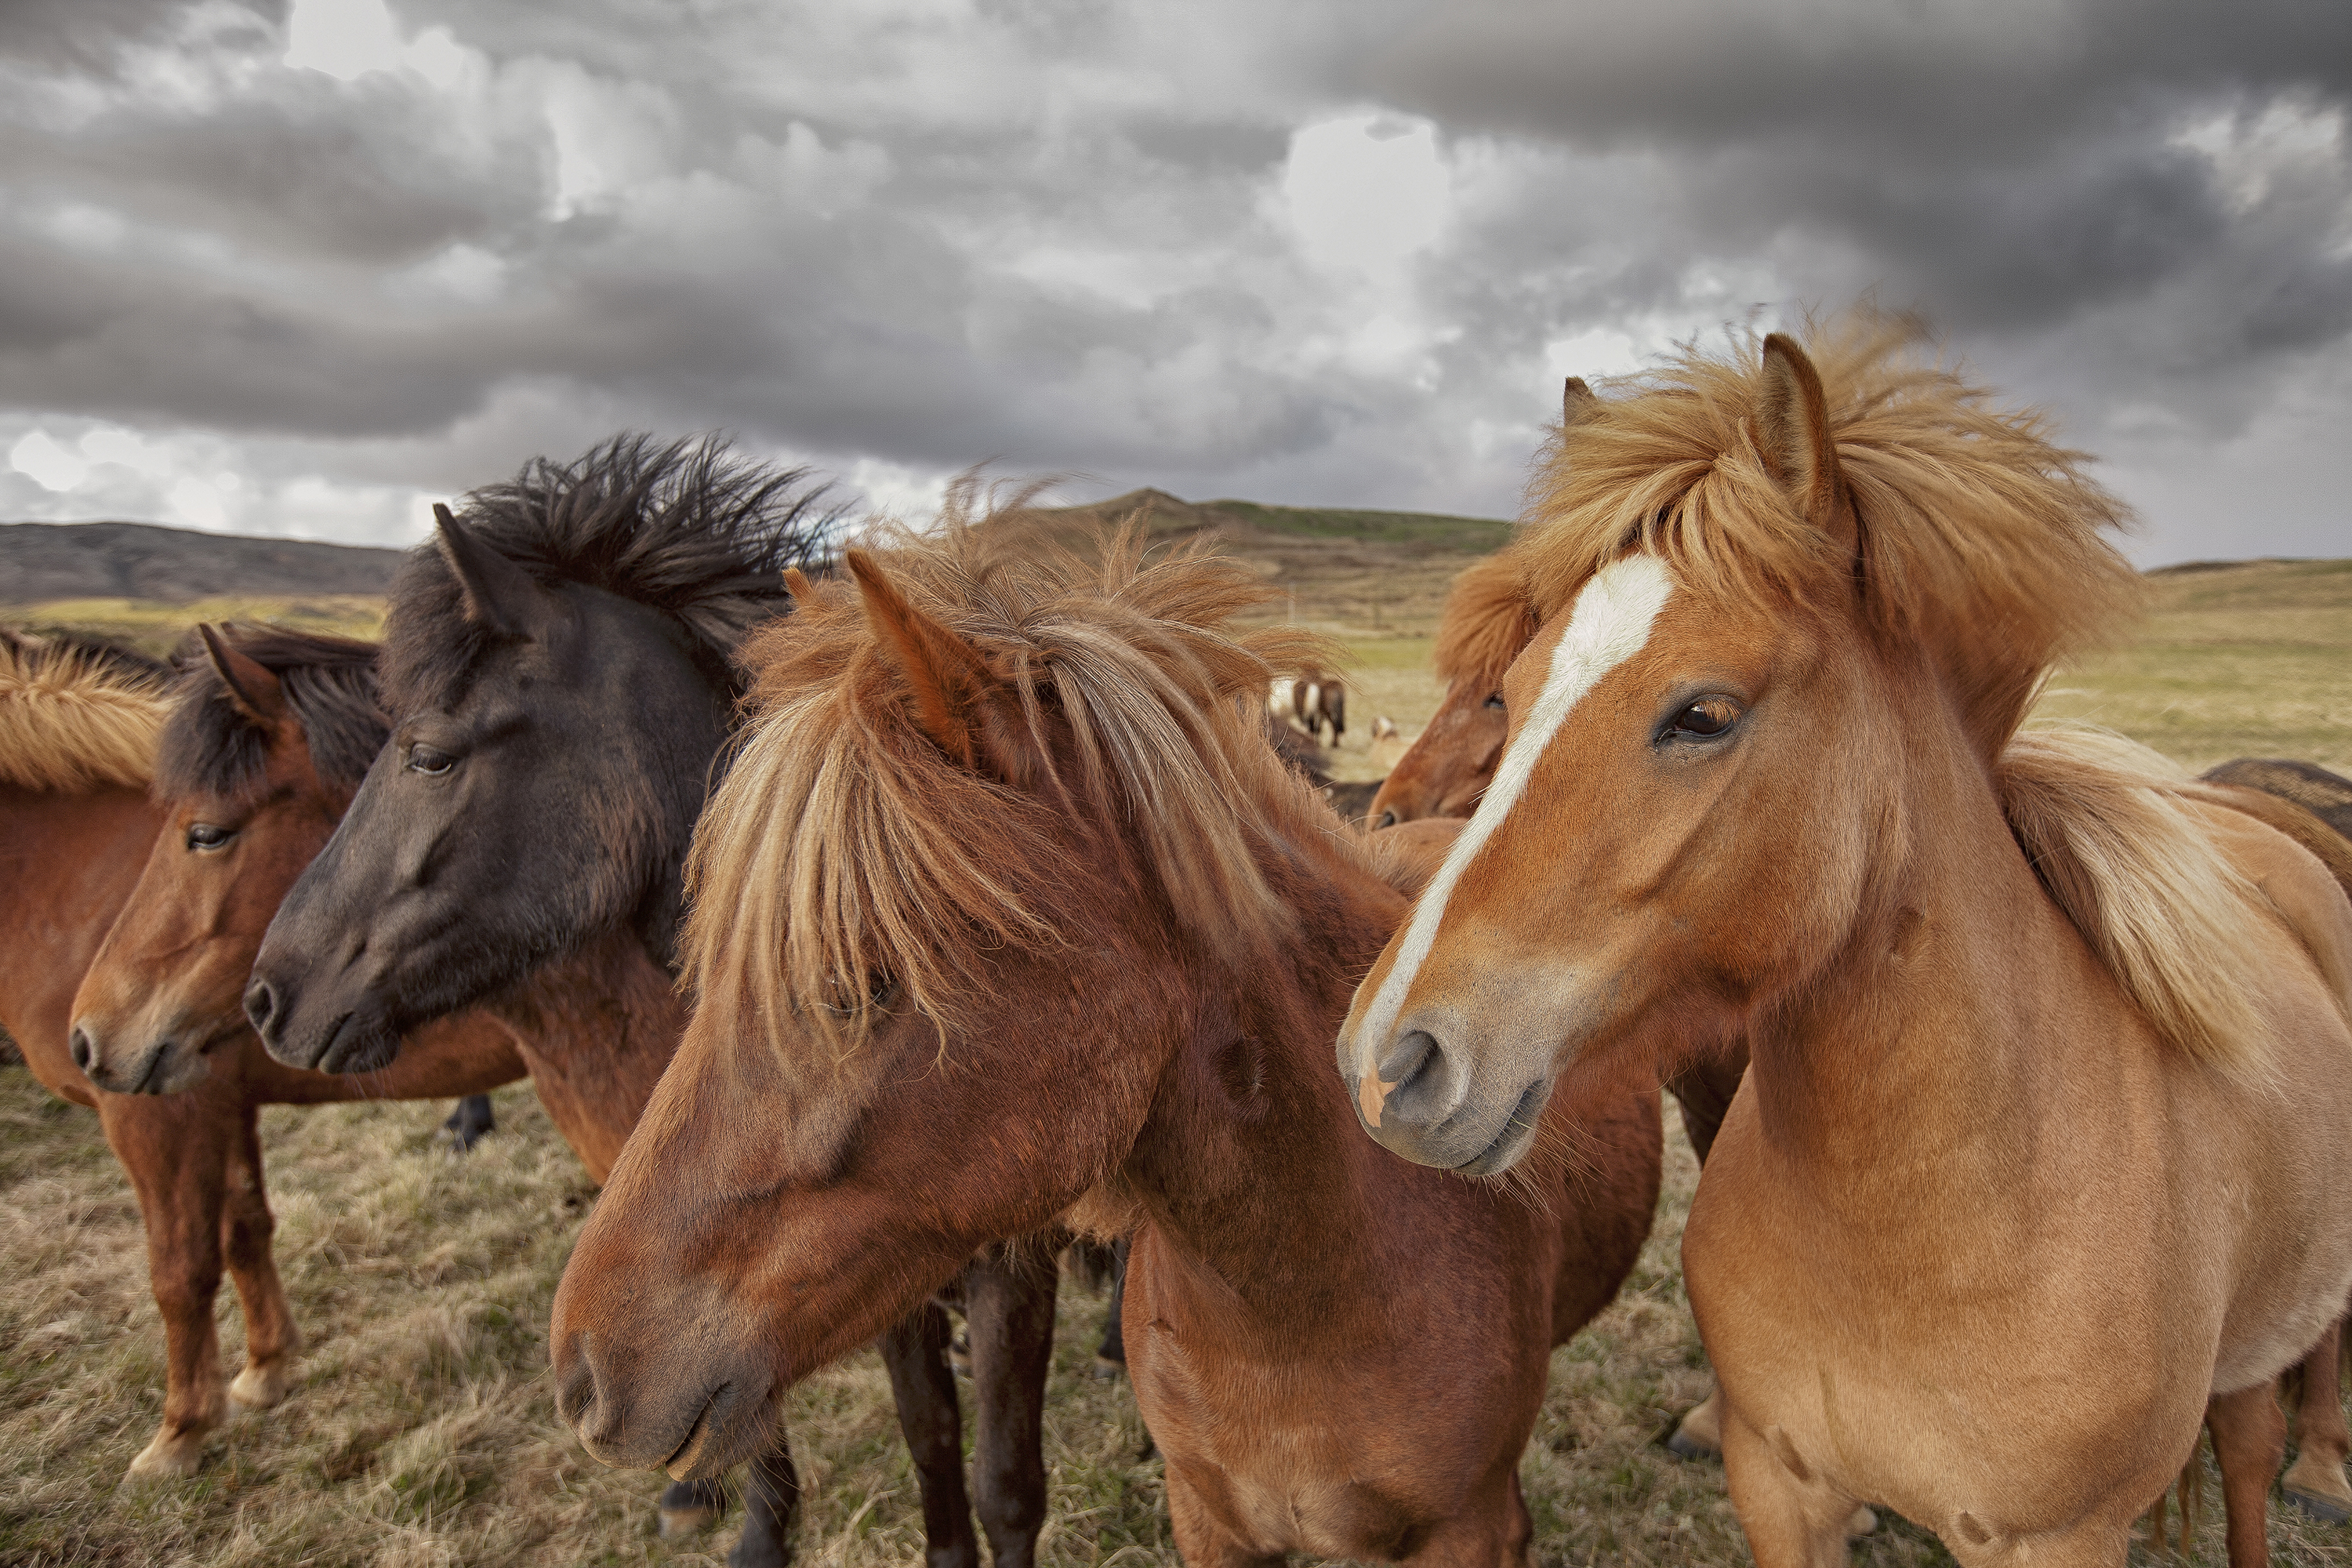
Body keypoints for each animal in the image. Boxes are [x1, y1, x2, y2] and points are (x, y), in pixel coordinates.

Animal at [238, 439, 1049, 1568]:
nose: (272, 994)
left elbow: (1006, 1482)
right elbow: (930, 1439)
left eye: (430, 752)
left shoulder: (1017, 1270)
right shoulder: (875, 1261)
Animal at [1336, 312, 2352, 1561]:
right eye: (1513, 696)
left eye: (1704, 714)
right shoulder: (1780, 1486)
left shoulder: (2057, 1536)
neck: (1923, 1230)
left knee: (2255, 1451)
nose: (1389, 1061)